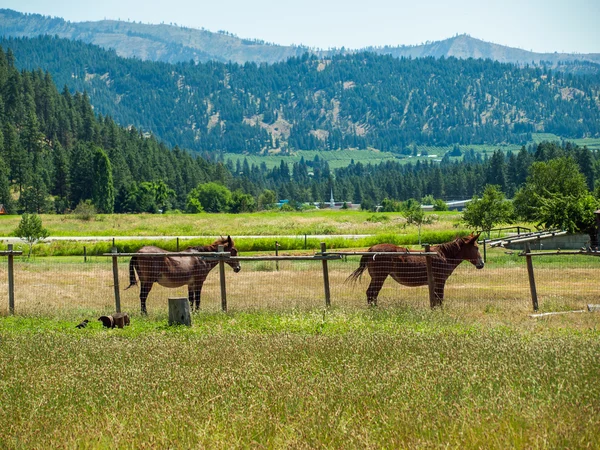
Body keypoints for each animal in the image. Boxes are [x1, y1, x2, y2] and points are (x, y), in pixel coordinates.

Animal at [346, 236, 482, 306]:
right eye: (476, 248)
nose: (482, 264)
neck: (444, 255)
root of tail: (371, 250)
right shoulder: (440, 281)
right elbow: (439, 299)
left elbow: (435, 299)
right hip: (379, 277)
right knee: (371, 293)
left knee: (372, 293)